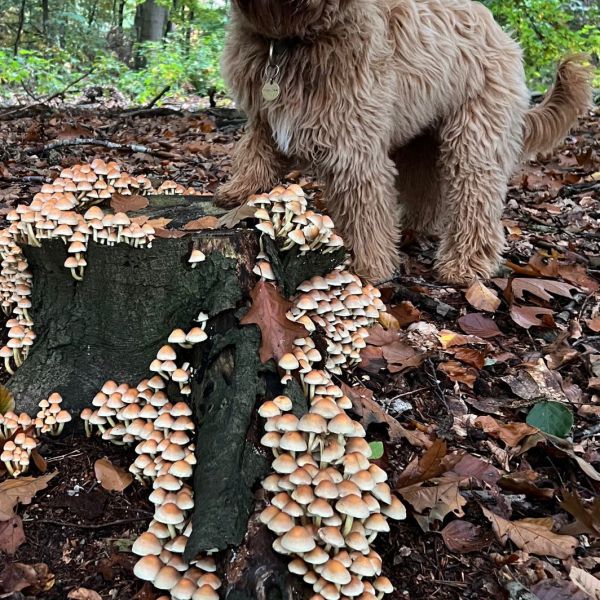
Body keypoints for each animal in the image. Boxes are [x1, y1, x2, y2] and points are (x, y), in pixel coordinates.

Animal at [214, 0, 592, 284]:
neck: (290, 40)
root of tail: (503, 34)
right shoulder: (264, 118)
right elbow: (255, 150)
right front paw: (240, 190)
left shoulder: (354, 146)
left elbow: (364, 209)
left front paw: (369, 266)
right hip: (421, 137)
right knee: (427, 188)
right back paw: (415, 228)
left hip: (476, 133)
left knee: (475, 198)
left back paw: (464, 265)